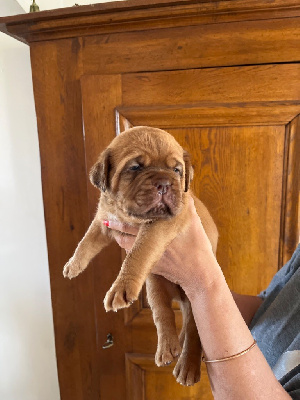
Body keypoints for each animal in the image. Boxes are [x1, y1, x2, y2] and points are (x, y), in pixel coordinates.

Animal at [63, 126, 218, 388]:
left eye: (177, 170)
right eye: (135, 167)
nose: (164, 183)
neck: (127, 214)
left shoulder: (160, 225)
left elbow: (138, 252)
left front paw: (120, 287)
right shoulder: (104, 220)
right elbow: (86, 241)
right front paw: (74, 265)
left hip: (193, 298)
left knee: (194, 332)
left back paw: (187, 366)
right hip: (154, 285)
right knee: (163, 314)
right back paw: (168, 348)